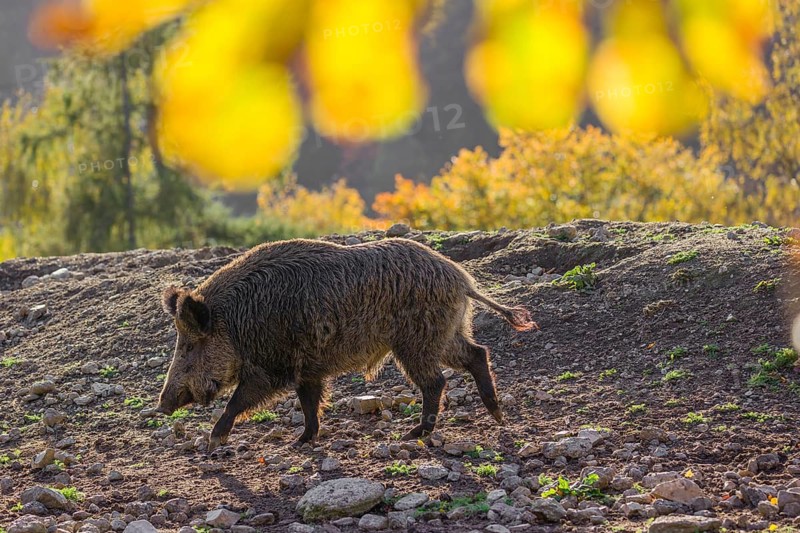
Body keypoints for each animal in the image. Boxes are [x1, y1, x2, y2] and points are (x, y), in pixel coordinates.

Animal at [158, 238, 535, 451]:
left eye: (189, 346)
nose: (162, 406)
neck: (236, 323)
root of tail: (462, 279)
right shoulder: (308, 368)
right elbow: (309, 403)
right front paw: (301, 441)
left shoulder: (271, 367)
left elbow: (239, 400)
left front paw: (213, 441)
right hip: (444, 335)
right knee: (477, 354)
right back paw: (497, 416)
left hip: (415, 341)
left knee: (436, 381)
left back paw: (413, 434)